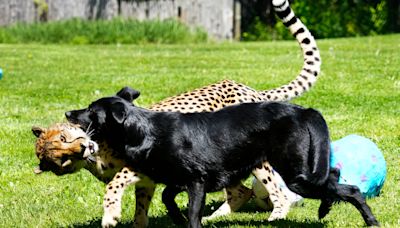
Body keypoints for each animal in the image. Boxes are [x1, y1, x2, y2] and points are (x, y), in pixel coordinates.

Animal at [65, 87, 378, 226]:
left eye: (91, 111)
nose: (68, 113)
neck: (145, 131)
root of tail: (303, 110)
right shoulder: (178, 180)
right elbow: (167, 197)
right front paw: (176, 217)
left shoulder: (197, 182)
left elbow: (192, 212)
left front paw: (188, 221)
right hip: (302, 170)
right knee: (334, 176)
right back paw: (325, 210)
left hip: (296, 174)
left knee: (351, 188)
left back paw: (370, 221)